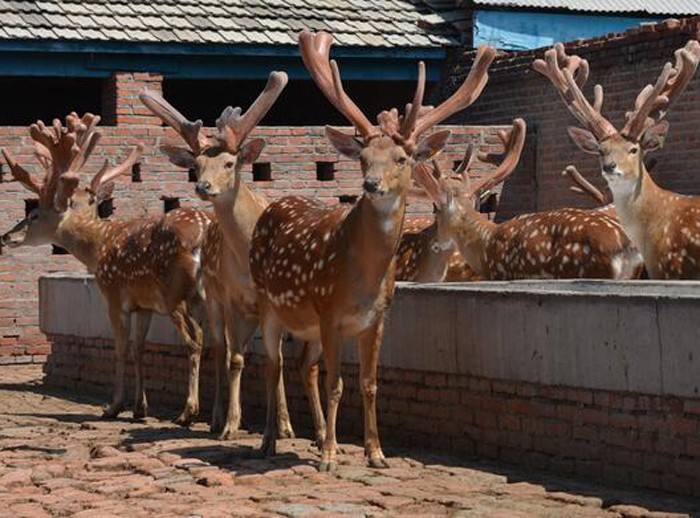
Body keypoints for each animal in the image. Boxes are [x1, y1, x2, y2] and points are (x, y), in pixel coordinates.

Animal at [1, 114, 212, 426]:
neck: (98, 247)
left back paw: (188, 412)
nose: (6, 237)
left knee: (195, 340)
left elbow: (121, 347)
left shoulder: (113, 294)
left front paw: (114, 406)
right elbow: (139, 347)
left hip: (175, 293)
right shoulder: (144, 304)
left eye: (34, 214)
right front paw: (139, 408)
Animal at [141, 72, 330, 446]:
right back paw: (214, 417)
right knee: (218, 347)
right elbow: (236, 358)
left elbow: (276, 359)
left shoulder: (269, 301)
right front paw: (231, 423)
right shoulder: (229, 297)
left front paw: (284, 426)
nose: (203, 186)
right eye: (197, 165)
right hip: (212, 298)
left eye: (230, 163)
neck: (245, 259)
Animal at [246, 30, 498, 474]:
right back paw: (270, 441)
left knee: (302, 365)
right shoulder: (329, 311)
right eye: (363, 157)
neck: (362, 279)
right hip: (268, 303)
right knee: (272, 365)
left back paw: (313, 436)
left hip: (305, 325)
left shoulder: (378, 318)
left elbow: (369, 383)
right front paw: (330, 457)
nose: (370, 184)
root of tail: (274, 206)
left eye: (402, 157)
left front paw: (375, 453)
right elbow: (336, 384)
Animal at [410, 119, 644, 280]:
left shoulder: (502, 274)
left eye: (436, 209)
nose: (436, 244)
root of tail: (625, 249)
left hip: (586, 268)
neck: (485, 246)